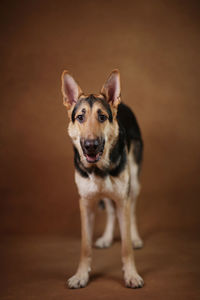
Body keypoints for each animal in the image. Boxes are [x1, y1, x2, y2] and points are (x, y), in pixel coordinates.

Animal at [61, 69, 144, 288]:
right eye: (80, 117)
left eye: (102, 117)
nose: (91, 145)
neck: (98, 168)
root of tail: (122, 104)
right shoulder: (86, 204)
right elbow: (85, 246)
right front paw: (81, 275)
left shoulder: (123, 198)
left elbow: (125, 247)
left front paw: (131, 274)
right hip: (105, 194)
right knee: (110, 211)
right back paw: (106, 238)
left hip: (133, 184)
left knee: (133, 209)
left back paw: (135, 238)